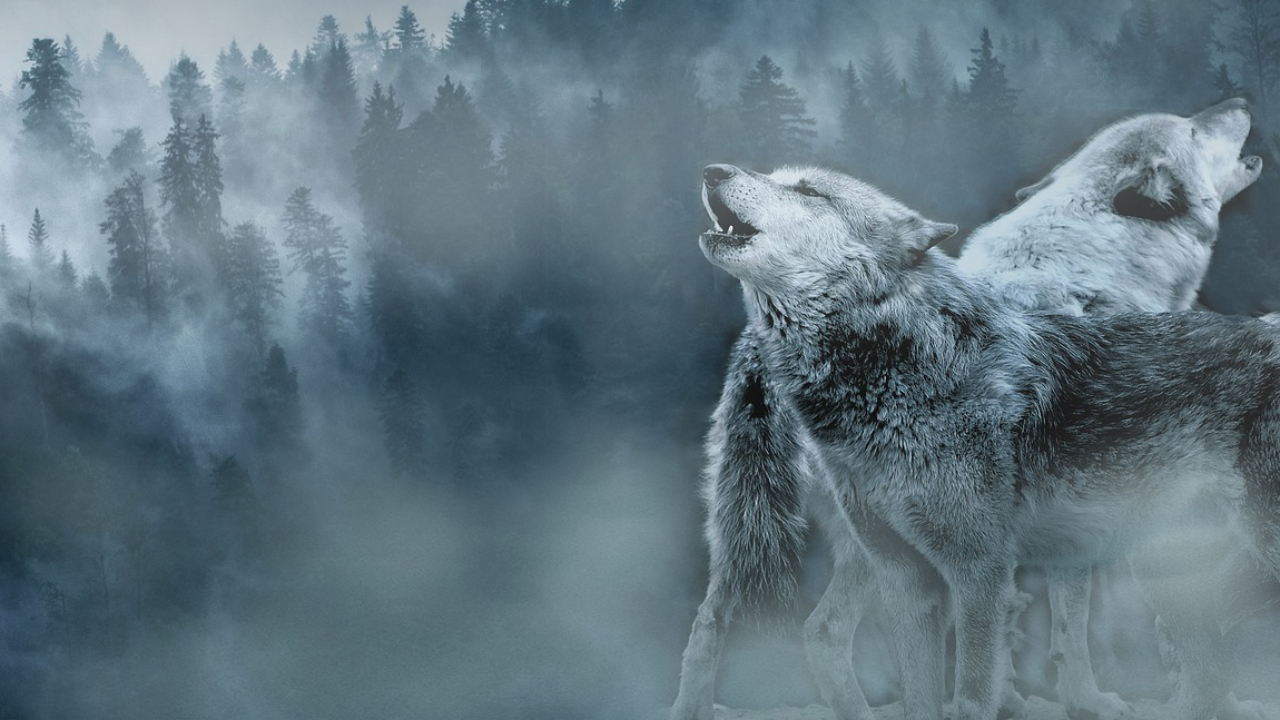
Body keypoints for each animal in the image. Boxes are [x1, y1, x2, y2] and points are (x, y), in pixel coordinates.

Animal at [671, 100, 1263, 720]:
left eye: (806, 189)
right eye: (1194, 128)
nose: (1240, 103)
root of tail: (752, 352)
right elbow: (1063, 628)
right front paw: (1078, 698)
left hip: (758, 537)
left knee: (739, 627)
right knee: (818, 630)